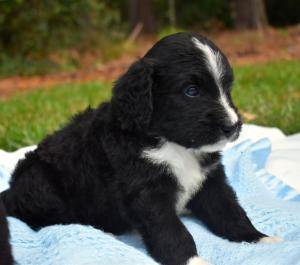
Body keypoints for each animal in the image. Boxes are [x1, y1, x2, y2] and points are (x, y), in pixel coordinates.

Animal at [0, 33, 282, 264]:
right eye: (191, 91)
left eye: (227, 89)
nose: (232, 127)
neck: (173, 145)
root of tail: (11, 191)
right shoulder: (147, 194)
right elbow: (172, 232)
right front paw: (193, 261)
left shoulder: (210, 182)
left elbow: (231, 212)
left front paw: (260, 240)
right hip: (41, 183)